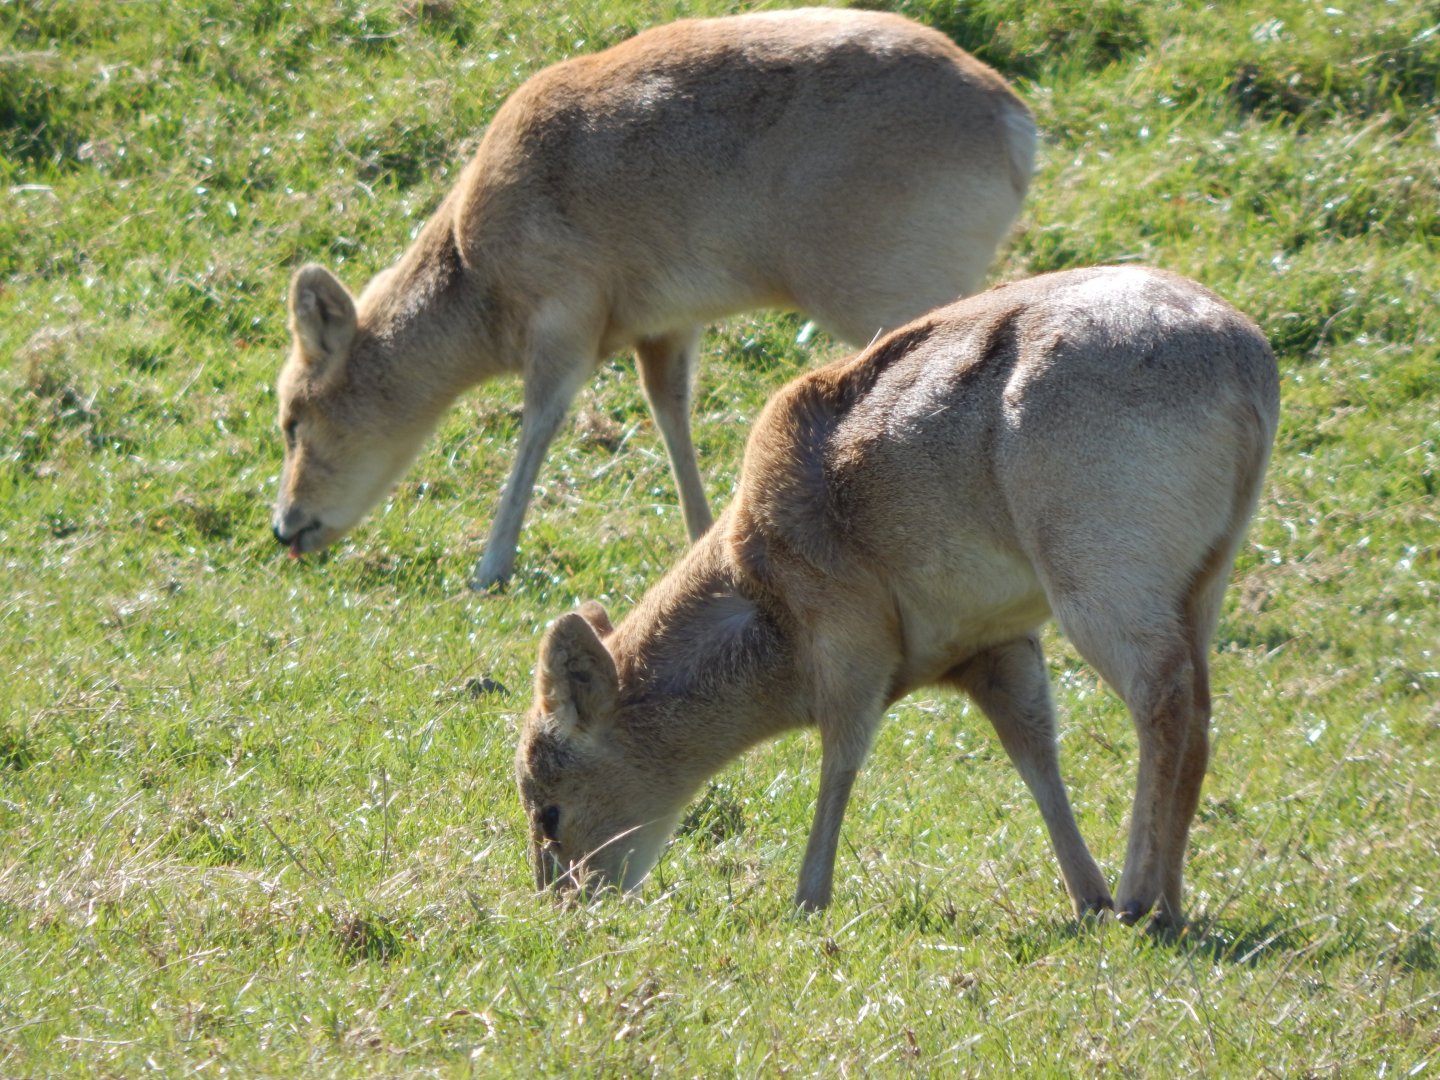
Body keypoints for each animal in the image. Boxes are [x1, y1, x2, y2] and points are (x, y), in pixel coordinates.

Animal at [270, 8, 1036, 588]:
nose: (285, 525)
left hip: (890, 291)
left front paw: (490, 567)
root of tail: (1015, 127)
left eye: (293, 418)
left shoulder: (565, 317)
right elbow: (670, 409)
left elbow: (539, 420)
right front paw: (701, 537)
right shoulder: (664, 326)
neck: (474, 267)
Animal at [516, 265, 1281, 926]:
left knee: (1163, 698)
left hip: (1100, 574)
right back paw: (1165, 901)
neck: (762, 593)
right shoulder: (994, 646)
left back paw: (1141, 897)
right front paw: (1082, 896)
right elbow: (1034, 749)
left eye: (547, 810)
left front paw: (808, 898)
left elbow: (842, 755)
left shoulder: (852, 641)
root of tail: (1248, 367)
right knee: (1200, 706)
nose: (566, 901)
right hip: (1201, 581)